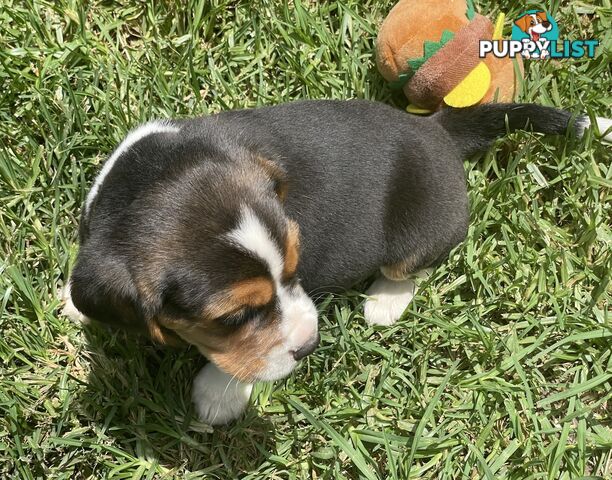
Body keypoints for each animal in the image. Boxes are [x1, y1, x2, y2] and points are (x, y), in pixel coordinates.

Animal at [62, 100, 604, 424]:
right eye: (235, 316)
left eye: (296, 267)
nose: (310, 347)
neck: (152, 176)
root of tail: (435, 128)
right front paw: (72, 302)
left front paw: (220, 394)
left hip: (419, 233)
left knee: (412, 267)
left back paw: (384, 301)